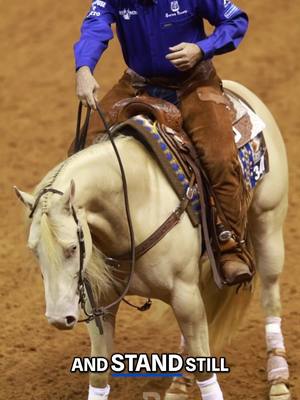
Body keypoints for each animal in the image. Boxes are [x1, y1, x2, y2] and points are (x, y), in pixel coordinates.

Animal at [15, 79, 290, 400]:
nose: (59, 319)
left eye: (72, 247)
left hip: (268, 224)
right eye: (34, 251)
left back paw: (278, 379)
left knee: (270, 298)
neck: (134, 204)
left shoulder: (184, 295)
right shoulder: (102, 304)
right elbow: (99, 375)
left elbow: (206, 368)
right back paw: (180, 385)